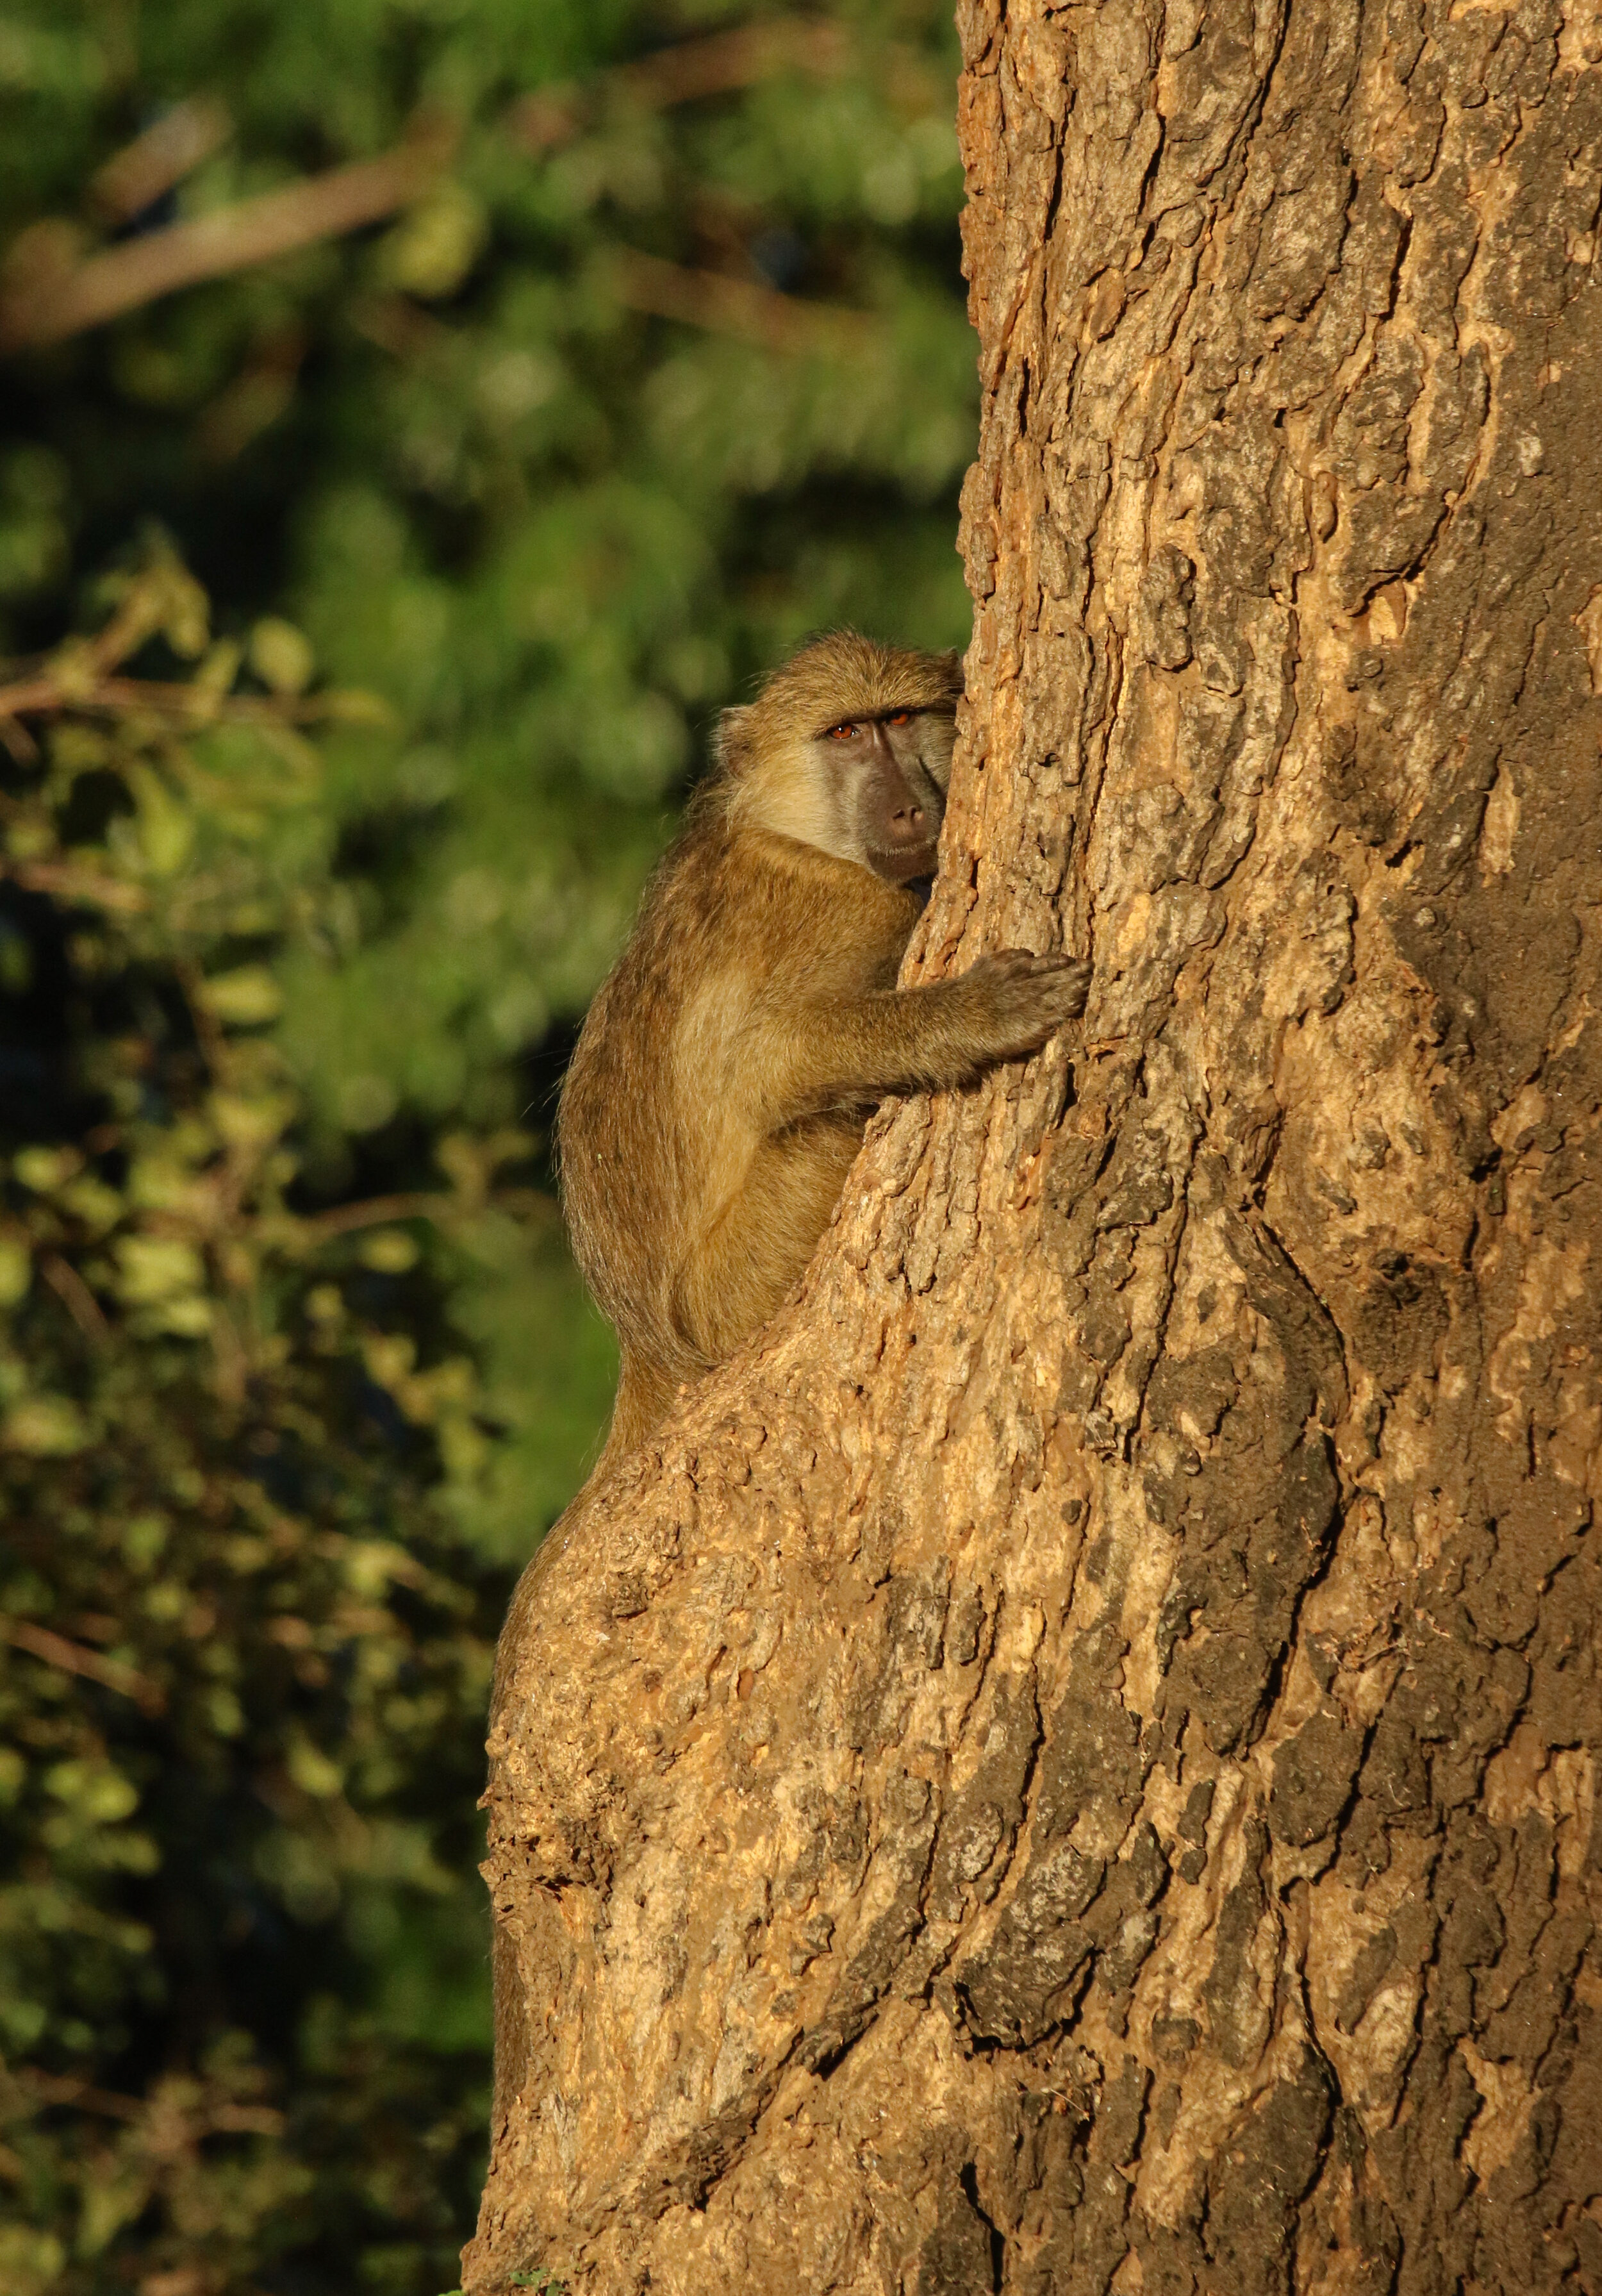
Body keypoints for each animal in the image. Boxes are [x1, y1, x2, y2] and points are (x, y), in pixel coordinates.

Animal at [556, 630, 1091, 1470]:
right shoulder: (858, 910)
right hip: (732, 1293)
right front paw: (982, 1012)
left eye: (898, 718)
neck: (789, 830)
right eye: (843, 733)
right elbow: (762, 1061)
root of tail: (647, 1353)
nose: (908, 809)